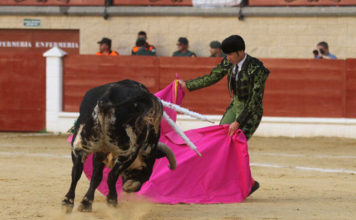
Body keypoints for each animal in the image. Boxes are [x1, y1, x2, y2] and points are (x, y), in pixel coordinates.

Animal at [63, 80, 178, 212]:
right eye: (149, 165)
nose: (136, 187)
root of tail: (107, 97)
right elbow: (106, 176)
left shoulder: (100, 151)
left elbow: (96, 177)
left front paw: (86, 203)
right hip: (127, 151)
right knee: (111, 176)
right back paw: (112, 200)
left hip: (80, 145)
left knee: (76, 171)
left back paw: (68, 202)